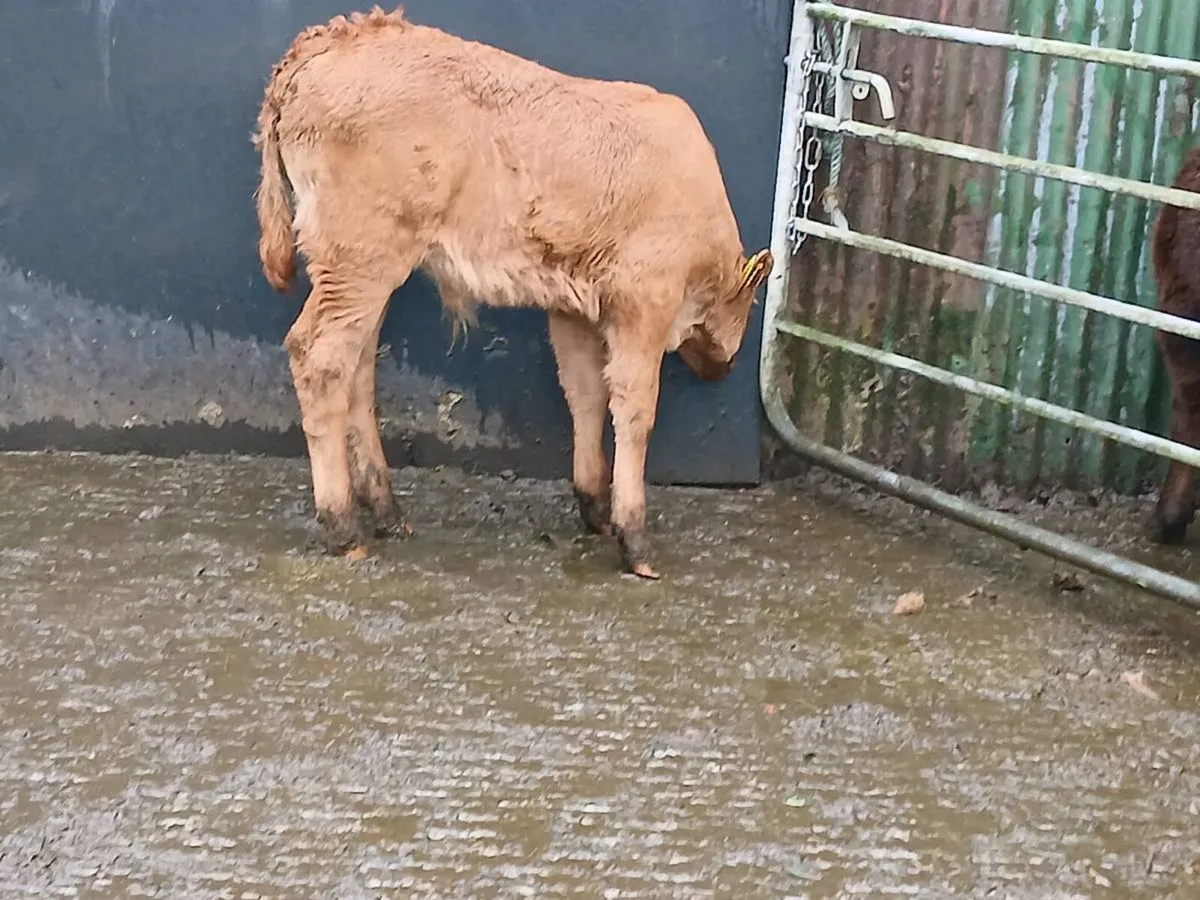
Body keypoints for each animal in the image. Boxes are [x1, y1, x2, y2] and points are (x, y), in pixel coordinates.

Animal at [253, 6, 773, 579]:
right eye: (748, 308)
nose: (725, 365)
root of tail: (330, 39)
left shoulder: (574, 307)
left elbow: (585, 392)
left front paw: (595, 505)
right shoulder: (645, 302)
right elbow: (635, 408)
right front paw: (634, 537)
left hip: (366, 266)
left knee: (359, 368)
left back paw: (386, 511)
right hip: (357, 257)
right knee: (320, 357)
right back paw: (343, 527)